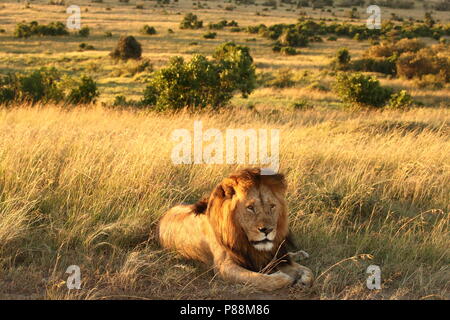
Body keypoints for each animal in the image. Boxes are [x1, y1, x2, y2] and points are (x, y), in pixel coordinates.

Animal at [158, 169, 312, 292]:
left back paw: (300, 254)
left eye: (272, 206)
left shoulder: (268, 257)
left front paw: (302, 278)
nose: (267, 230)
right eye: (250, 208)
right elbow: (259, 278)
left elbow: (309, 272)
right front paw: (284, 278)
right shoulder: (223, 266)